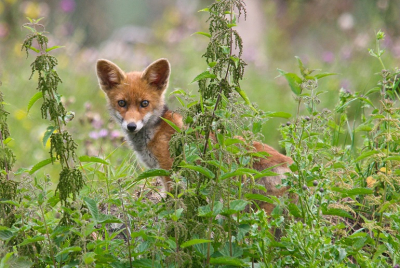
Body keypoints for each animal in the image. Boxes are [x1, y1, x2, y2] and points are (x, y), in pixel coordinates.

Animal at [95, 58, 292, 214]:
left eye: (144, 103)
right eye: (122, 103)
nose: (131, 126)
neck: (155, 132)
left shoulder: (169, 171)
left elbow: (172, 204)